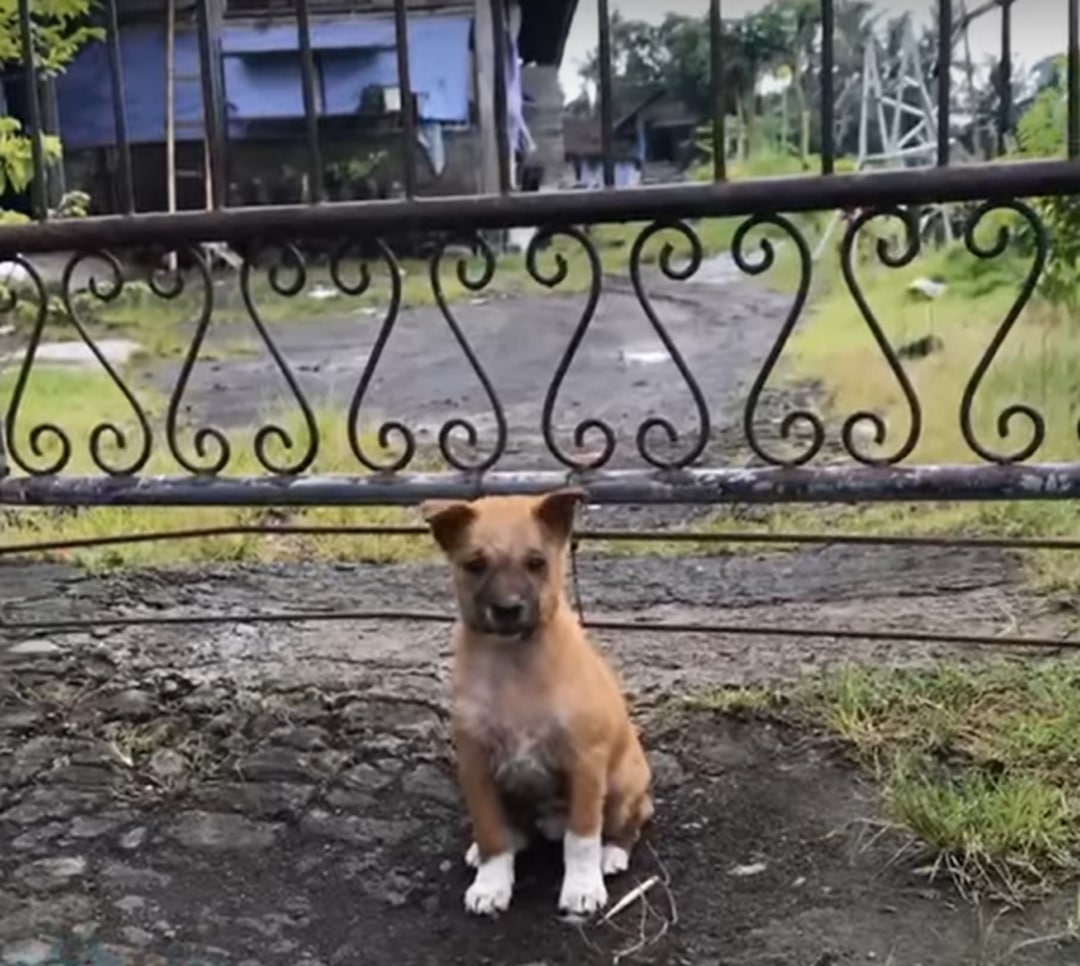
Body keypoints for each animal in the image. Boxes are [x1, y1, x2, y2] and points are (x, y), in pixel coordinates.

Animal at [419, 494, 656, 920]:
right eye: (474, 564)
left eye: (536, 562)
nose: (508, 609)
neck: (514, 663)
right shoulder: (475, 766)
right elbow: (490, 831)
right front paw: (491, 884)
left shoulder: (585, 764)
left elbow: (582, 837)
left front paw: (582, 888)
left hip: (623, 783)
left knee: (631, 818)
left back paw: (612, 853)